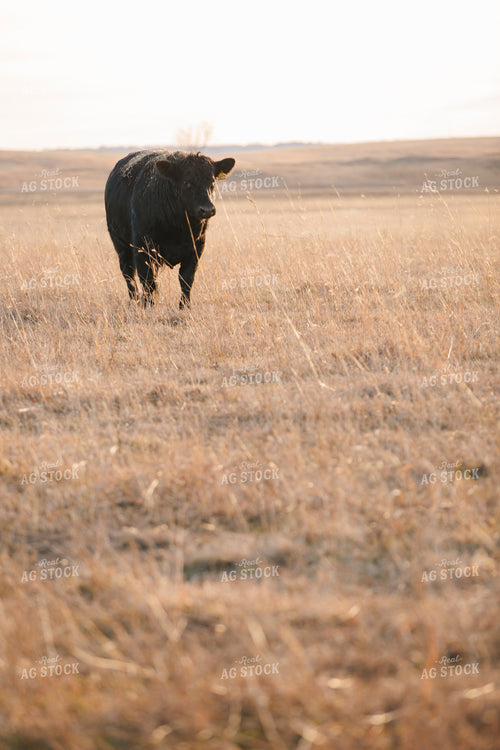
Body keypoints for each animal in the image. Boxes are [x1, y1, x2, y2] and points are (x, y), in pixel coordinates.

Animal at [104, 149, 235, 308]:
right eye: (187, 182)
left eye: (212, 181)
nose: (207, 209)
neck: (179, 227)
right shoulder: (142, 248)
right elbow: (148, 281)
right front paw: (148, 305)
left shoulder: (196, 248)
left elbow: (186, 279)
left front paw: (184, 306)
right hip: (121, 245)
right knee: (129, 275)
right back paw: (134, 301)